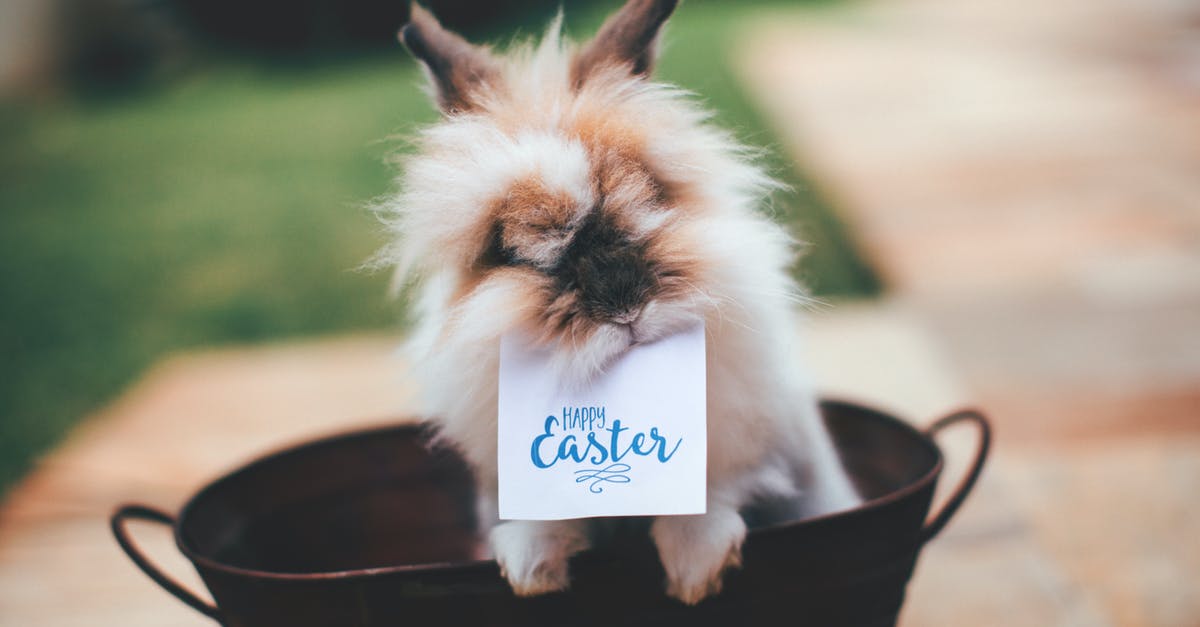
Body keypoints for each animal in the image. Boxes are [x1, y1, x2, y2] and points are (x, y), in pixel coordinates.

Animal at [379, 0, 859, 605]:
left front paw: (696, 571)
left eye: (650, 194)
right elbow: (545, 516)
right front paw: (529, 570)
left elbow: (716, 486)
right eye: (513, 250)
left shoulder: (755, 433)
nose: (625, 308)